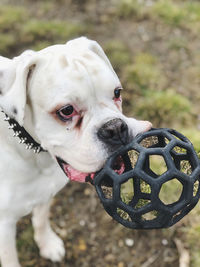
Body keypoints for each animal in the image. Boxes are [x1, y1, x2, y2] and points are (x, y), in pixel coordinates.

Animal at [0, 36, 152, 266]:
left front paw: (47, 244)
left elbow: (41, 220)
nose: (115, 128)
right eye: (66, 111)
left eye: (117, 92)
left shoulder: (45, 193)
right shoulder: (4, 227)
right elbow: (10, 258)